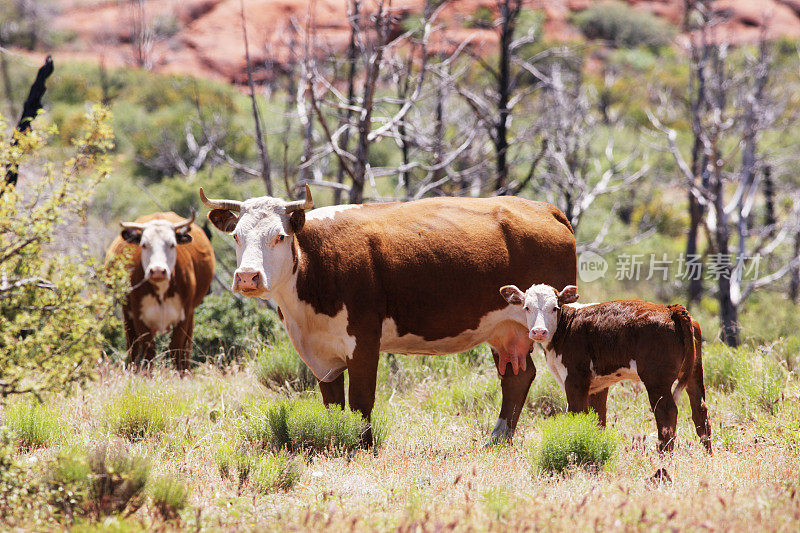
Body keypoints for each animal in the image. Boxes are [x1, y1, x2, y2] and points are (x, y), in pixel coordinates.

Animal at [104, 211, 214, 370]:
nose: (157, 271)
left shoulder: (184, 315)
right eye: (144, 245)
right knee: (133, 347)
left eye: (172, 244)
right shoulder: (139, 316)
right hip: (127, 314)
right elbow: (148, 351)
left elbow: (177, 348)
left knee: (186, 348)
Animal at [200, 185, 576, 442]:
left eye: (279, 236)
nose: (247, 276)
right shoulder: (321, 355)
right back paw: (498, 438)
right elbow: (333, 403)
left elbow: (361, 399)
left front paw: (362, 446)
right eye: (236, 236)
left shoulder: (364, 341)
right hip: (504, 329)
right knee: (516, 377)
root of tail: (545, 208)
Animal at [500, 282, 712, 454]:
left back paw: (662, 455)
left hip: (656, 379)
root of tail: (671, 309)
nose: (539, 331)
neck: (565, 328)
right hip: (695, 372)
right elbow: (598, 420)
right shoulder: (598, 385)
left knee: (667, 413)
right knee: (700, 411)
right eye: (527, 307)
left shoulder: (575, 380)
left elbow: (577, 414)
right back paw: (707, 454)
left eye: (554, 307)